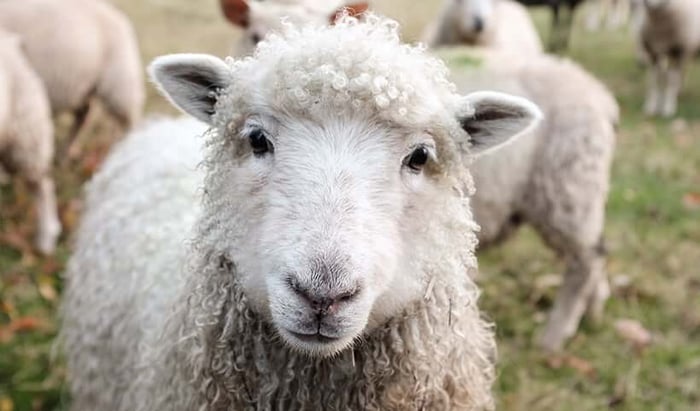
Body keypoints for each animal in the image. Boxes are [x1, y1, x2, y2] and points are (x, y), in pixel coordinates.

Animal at [0, 0, 145, 156]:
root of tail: (119, 17)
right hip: (83, 86)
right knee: (83, 115)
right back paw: (67, 151)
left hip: (119, 82)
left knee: (129, 119)